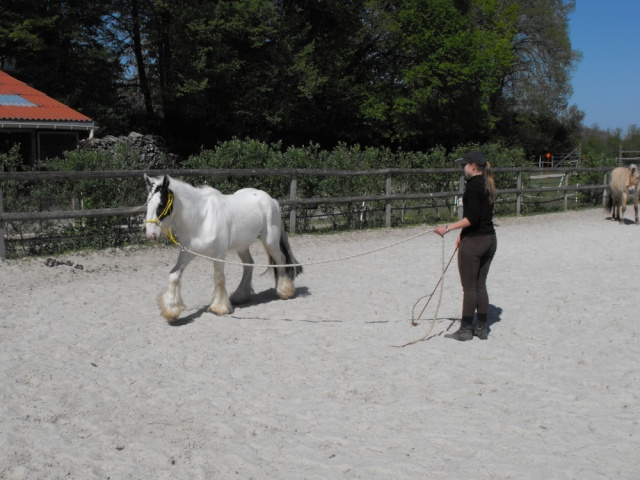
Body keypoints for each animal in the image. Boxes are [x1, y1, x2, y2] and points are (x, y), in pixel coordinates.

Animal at [144, 173, 302, 322]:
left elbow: (219, 279)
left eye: (161, 204)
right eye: (148, 204)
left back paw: (284, 291)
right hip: (242, 245)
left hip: (270, 241)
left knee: (280, 260)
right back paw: (240, 296)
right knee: (249, 264)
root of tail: (272, 200)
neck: (202, 219)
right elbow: (174, 275)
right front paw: (171, 310)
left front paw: (219, 308)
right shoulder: (188, 253)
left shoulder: (219, 254)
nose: (151, 235)